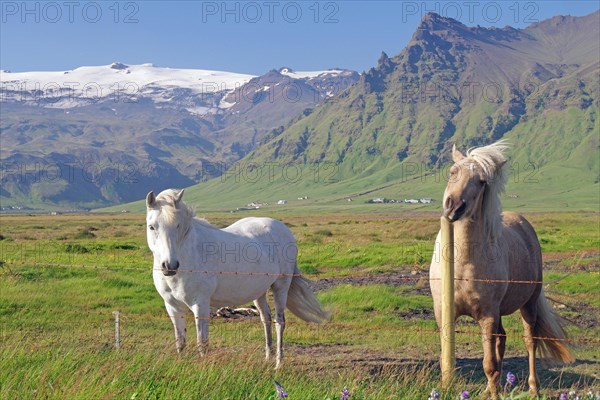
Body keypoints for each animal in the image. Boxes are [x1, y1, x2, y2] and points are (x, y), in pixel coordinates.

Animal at [148, 189, 330, 368]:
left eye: (178, 226)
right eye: (151, 227)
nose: (169, 265)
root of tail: (284, 230)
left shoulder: (200, 305)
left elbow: (202, 343)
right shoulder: (173, 307)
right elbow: (180, 342)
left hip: (281, 287)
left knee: (279, 321)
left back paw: (278, 363)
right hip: (259, 292)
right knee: (266, 319)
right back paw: (268, 358)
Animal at [428, 141, 576, 396]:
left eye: (481, 181)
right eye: (453, 171)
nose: (454, 207)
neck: (462, 264)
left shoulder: (488, 315)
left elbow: (489, 364)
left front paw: (495, 394)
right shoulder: (443, 312)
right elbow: (447, 359)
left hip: (528, 305)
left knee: (530, 341)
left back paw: (533, 388)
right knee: (502, 340)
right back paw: (492, 388)